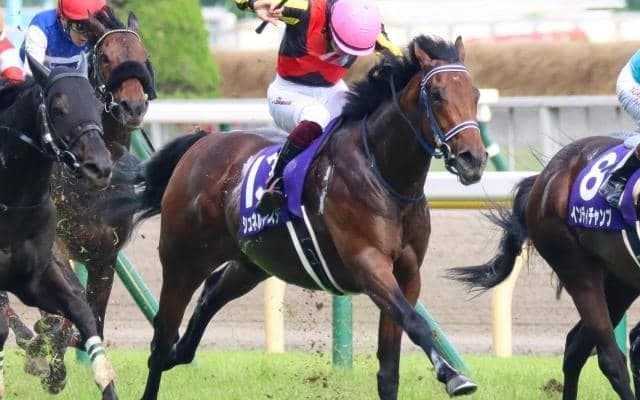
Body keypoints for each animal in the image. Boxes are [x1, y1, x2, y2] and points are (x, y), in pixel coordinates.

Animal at [99, 35, 487, 400]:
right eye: (436, 94)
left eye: (475, 93)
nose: (473, 159)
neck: (385, 174)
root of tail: (200, 145)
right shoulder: (368, 265)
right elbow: (416, 323)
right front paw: (454, 376)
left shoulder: (407, 273)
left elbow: (391, 367)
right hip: (183, 261)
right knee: (162, 336)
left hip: (252, 262)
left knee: (209, 296)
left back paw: (183, 351)